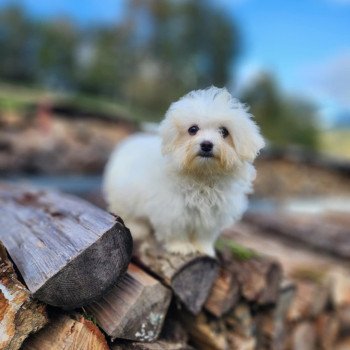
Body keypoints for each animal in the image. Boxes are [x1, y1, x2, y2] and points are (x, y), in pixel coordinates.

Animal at [102, 87, 264, 258]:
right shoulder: (172, 208)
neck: (202, 176)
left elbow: (204, 233)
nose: (206, 144)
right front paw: (181, 246)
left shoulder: (214, 214)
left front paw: (204, 248)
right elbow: (176, 228)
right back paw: (137, 227)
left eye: (224, 131)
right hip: (124, 195)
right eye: (193, 129)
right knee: (125, 211)